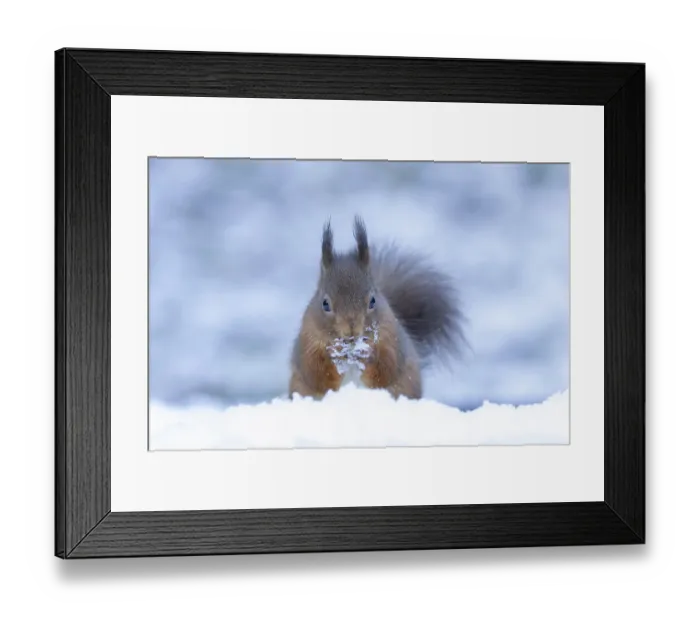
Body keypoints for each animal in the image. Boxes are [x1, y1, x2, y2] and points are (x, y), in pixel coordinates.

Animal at [289, 216, 466, 400]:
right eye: (325, 304)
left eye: (372, 301)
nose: (351, 329)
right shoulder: (307, 343)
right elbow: (316, 373)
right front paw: (334, 353)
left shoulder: (392, 339)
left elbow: (387, 367)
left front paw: (368, 354)